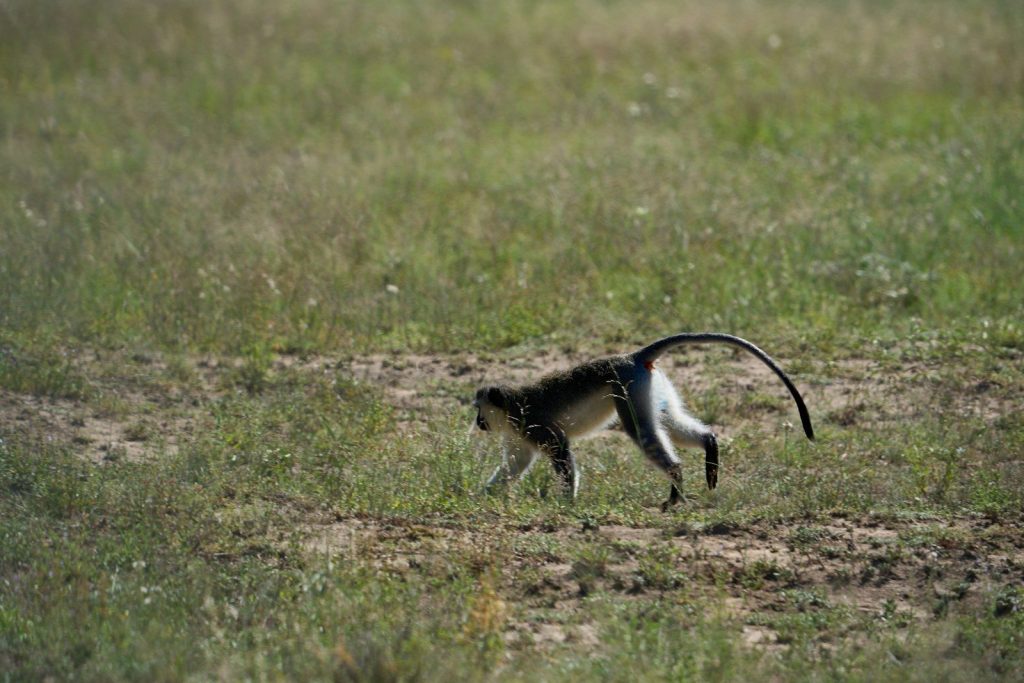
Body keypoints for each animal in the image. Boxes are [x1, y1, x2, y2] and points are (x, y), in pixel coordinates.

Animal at [472, 333, 814, 511]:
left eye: (479, 411)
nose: (478, 424)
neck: (511, 405)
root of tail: (631, 357)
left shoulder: (533, 425)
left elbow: (560, 450)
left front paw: (568, 501)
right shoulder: (518, 436)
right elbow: (514, 465)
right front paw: (482, 495)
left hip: (629, 389)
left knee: (642, 432)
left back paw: (675, 485)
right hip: (648, 387)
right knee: (666, 422)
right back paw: (709, 446)